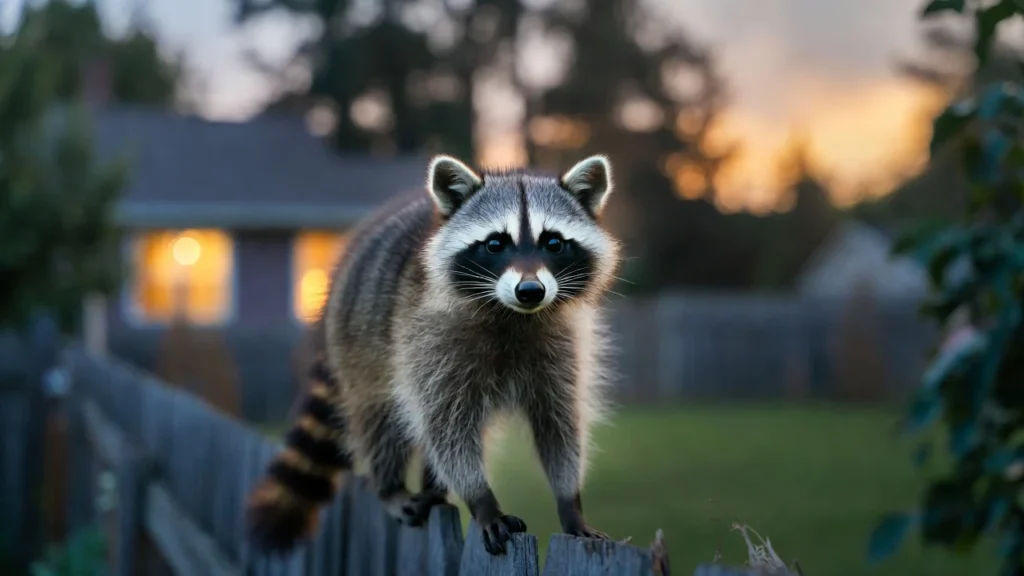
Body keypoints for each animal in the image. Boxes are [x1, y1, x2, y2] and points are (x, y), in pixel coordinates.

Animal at [245, 154, 622, 556]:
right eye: (495, 243)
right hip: (361, 344)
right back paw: (389, 486)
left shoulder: (561, 346)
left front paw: (569, 500)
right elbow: (446, 426)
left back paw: (434, 488)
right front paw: (481, 499)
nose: (531, 290)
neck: (512, 314)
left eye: (553, 242)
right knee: (380, 418)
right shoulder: (429, 339)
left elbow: (559, 422)